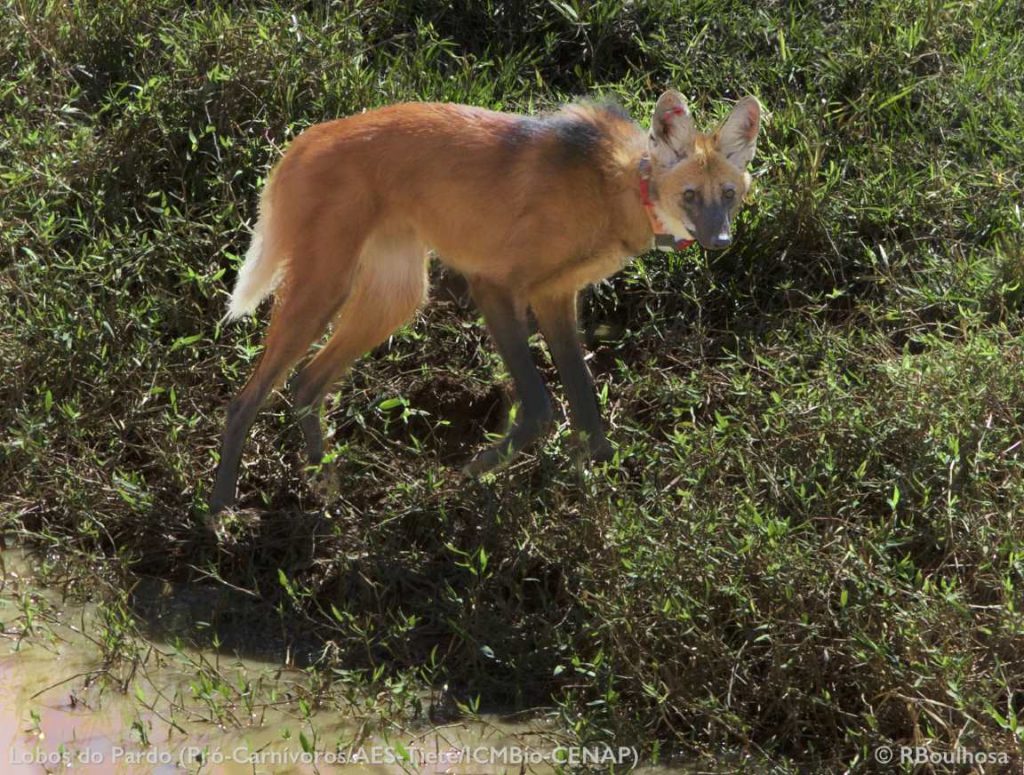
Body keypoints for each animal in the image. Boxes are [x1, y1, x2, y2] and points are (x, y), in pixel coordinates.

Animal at [210, 90, 761, 512]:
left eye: (728, 195)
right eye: (690, 195)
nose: (720, 240)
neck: (620, 189)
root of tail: (306, 137)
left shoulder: (555, 296)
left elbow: (584, 403)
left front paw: (598, 489)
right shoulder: (496, 286)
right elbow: (540, 405)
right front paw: (472, 472)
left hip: (396, 297)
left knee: (306, 383)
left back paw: (324, 486)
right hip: (326, 286)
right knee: (246, 398)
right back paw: (221, 510)